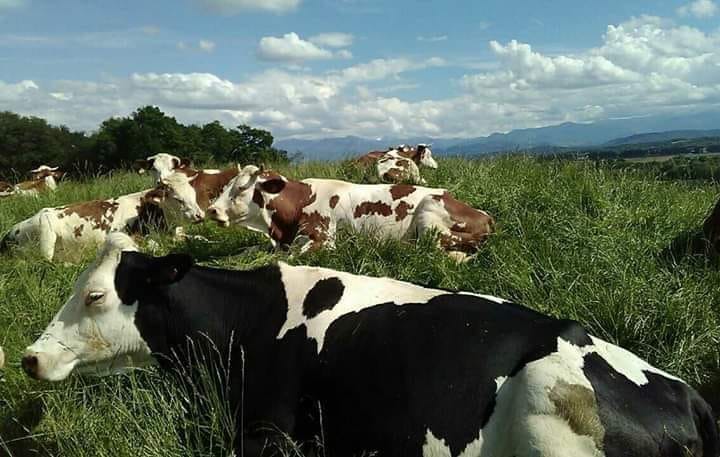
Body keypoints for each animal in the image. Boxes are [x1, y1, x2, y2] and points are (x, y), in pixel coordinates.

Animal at [206, 166, 493, 261]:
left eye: (241, 188)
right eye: (225, 185)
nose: (211, 210)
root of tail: (486, 216)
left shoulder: (324, 240)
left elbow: (290, 258)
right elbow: (247, 251)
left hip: (430, 215)